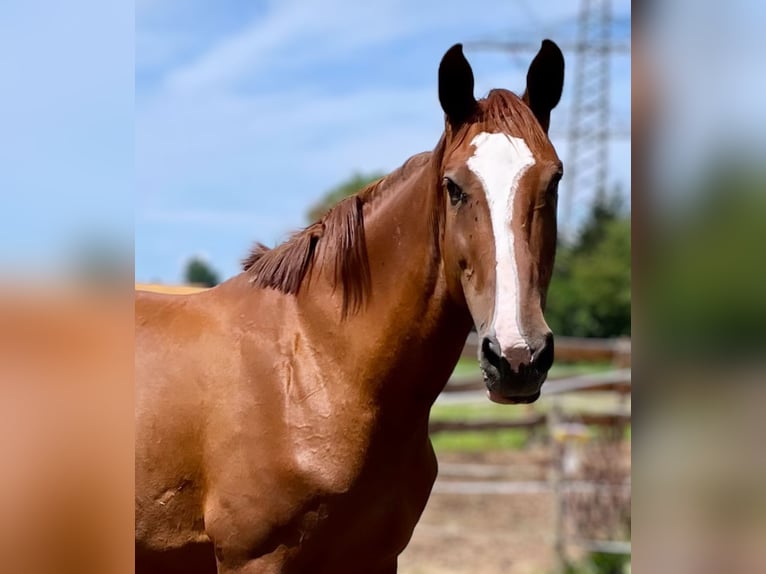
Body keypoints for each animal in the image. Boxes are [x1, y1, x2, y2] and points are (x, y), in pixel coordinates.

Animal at [135, 40, 564, 574]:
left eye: (553, 181)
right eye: (454, 186)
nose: (517, 357)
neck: (317, 365)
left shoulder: (377, 558)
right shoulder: (253, 560)